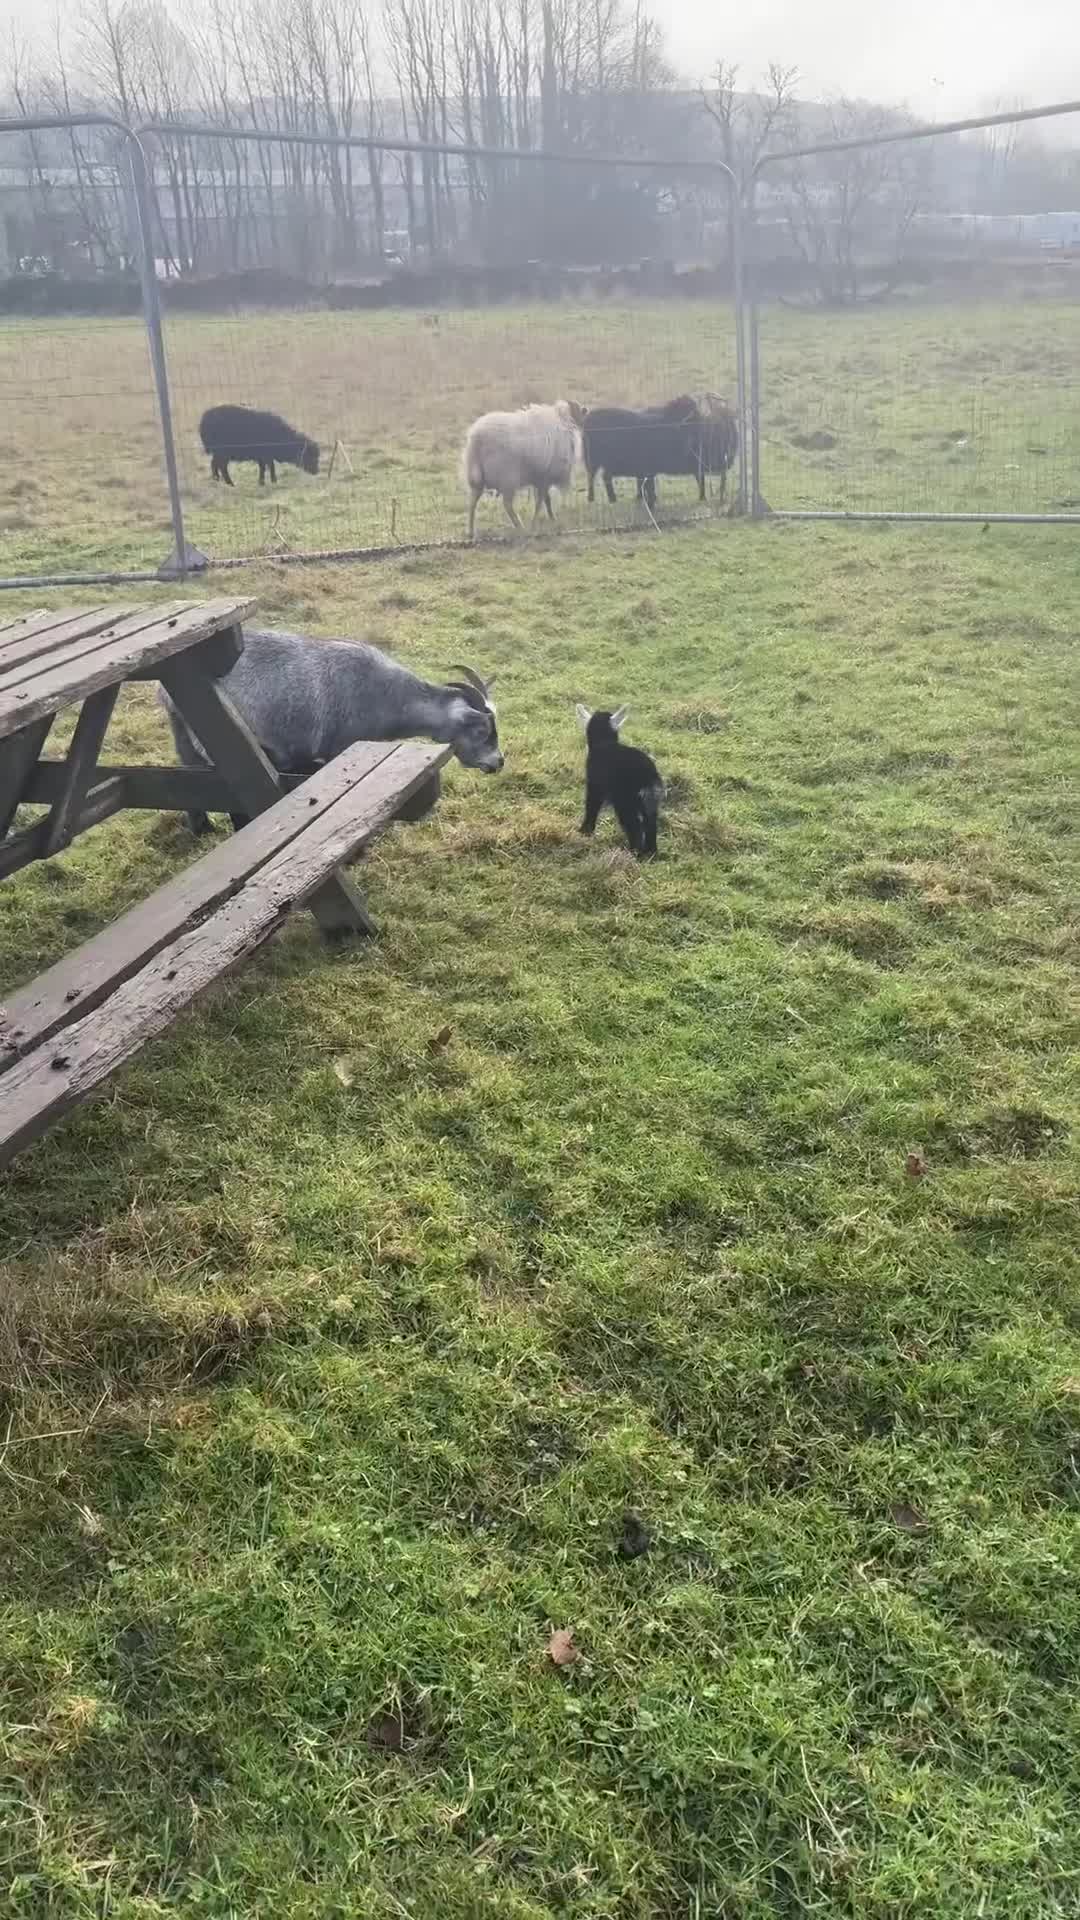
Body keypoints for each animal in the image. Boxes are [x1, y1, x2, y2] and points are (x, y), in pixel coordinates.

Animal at [159, 631, 502, 835]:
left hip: (184, 733)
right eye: (482, 729)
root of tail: (166, 692)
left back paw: (202, 828)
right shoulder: (341, 748)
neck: (388, 696)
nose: (498, 763)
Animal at [461, 399, 583, 539]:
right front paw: (538, 522)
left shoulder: (540, 478)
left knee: (472, 503)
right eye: (578, 409)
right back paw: (519, 526)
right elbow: (541, 501)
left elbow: (545, 500)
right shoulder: (544, 477)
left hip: (477, 477)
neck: (563, 421)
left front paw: (550, 518)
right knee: (507, 504)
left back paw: (471, 531)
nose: (586, 411)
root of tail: (476, 441)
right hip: (507, 478)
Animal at [575, 703, 663, 859]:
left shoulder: (595, 786)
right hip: (649, 801)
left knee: (634, 826)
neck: (604, 743)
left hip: (625, 801)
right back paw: (650, 853)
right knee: (650, 824)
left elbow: (591, 806)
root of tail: (647, 775)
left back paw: (633, 853)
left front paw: (584, 832)